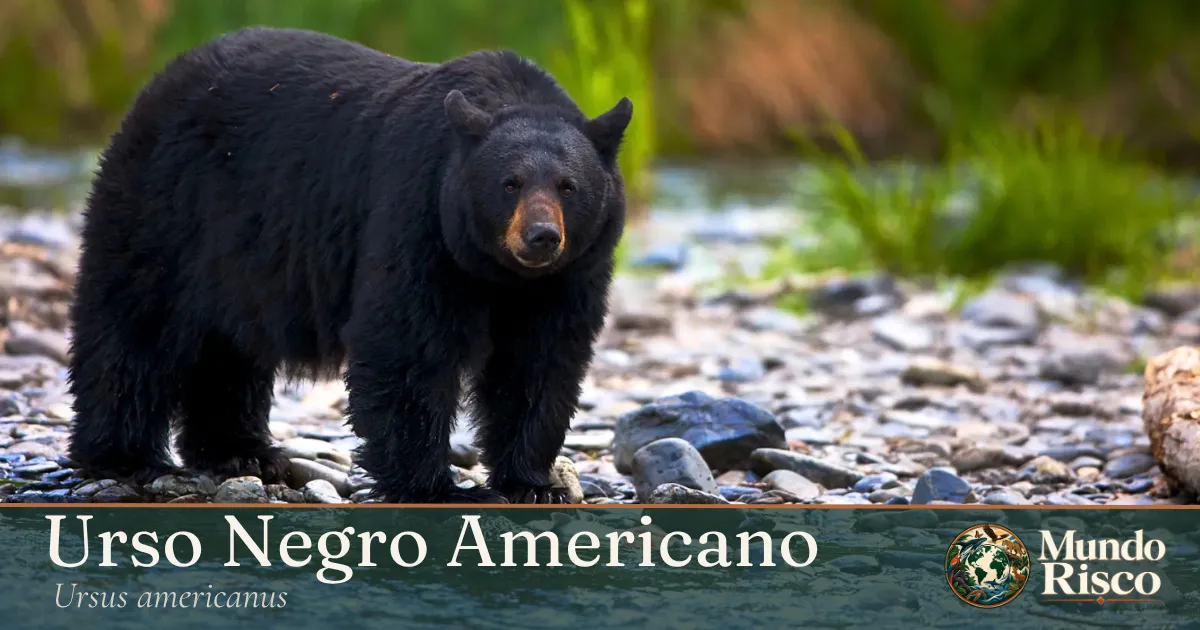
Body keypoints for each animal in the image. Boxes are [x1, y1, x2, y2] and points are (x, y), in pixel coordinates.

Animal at [65, 26, 632, 504]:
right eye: (509, 183)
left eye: (568, 186)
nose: (541, 237)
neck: (499, 273)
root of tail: (161, 80)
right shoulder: (417, 215)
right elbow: (408, 344)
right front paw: (436, 487)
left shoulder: (568, 275)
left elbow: (540, 362)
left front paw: (533, 483)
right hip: (166, 208)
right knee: (134, 326)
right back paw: (124, 457)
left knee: (227, 350)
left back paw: (243, 453)